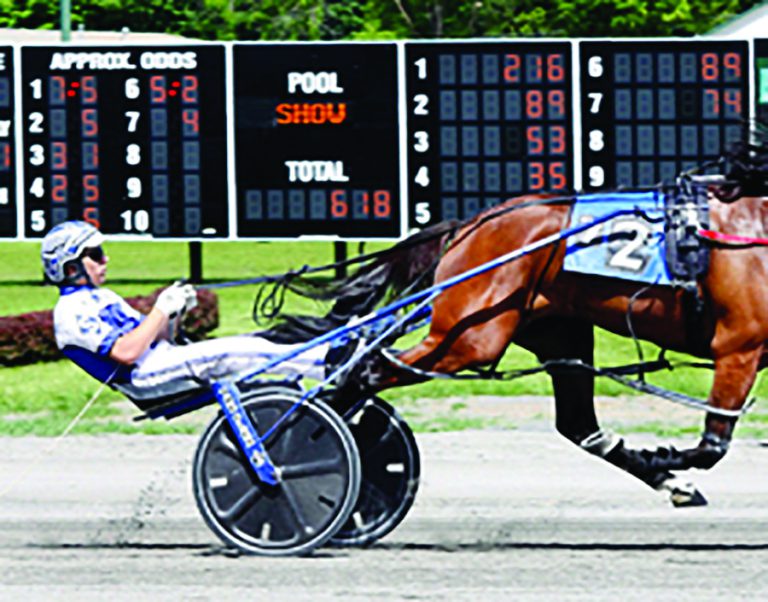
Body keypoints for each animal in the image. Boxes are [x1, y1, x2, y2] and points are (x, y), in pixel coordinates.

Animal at [260, 148, 768, 504]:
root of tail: (471, 224)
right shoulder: (738, 347)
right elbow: (711, 446)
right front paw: (661, 454)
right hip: (470, 336)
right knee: (364, 372)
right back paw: (282, 456)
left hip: (557, 332)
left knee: (580, 425)